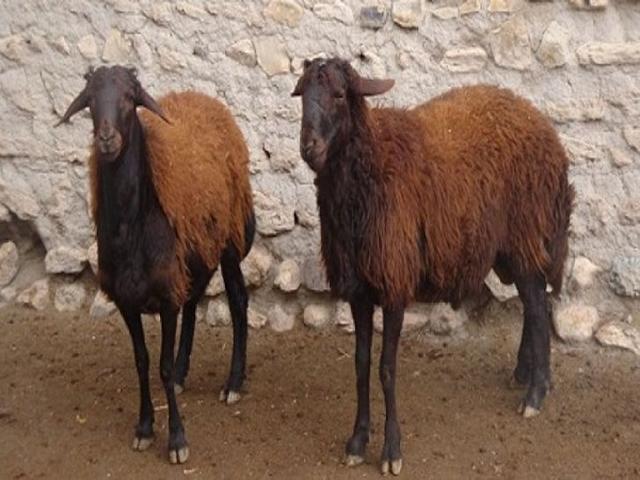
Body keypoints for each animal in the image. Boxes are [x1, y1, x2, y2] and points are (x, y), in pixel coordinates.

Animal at [57, 66, 255, 464]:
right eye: (90, 99)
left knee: (239, 303)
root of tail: (202, 96)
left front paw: (177, 439)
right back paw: (182, 372)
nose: (106, 138)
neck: (131, 228)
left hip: (228, 242)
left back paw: (232, 382)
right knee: (192, 302)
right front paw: (145, 428)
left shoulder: (164, 298)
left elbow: (160, 366)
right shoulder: (126, 301)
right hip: (194, 254)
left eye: (130, 98)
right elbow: (142, 362)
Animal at [292, 58, 574, 475]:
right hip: (512, 246)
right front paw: (357, 441)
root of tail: (542, 124)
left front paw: (391, 450)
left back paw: (536, 393)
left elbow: (386, 369)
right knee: (532, 303)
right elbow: (360, 365)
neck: (372, 165)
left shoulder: (394, 282)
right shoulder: (359, 289)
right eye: (301, 94)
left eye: (340, 95)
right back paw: (524, 374)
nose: (308, 147)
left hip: (526, 233)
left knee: (538, 308)